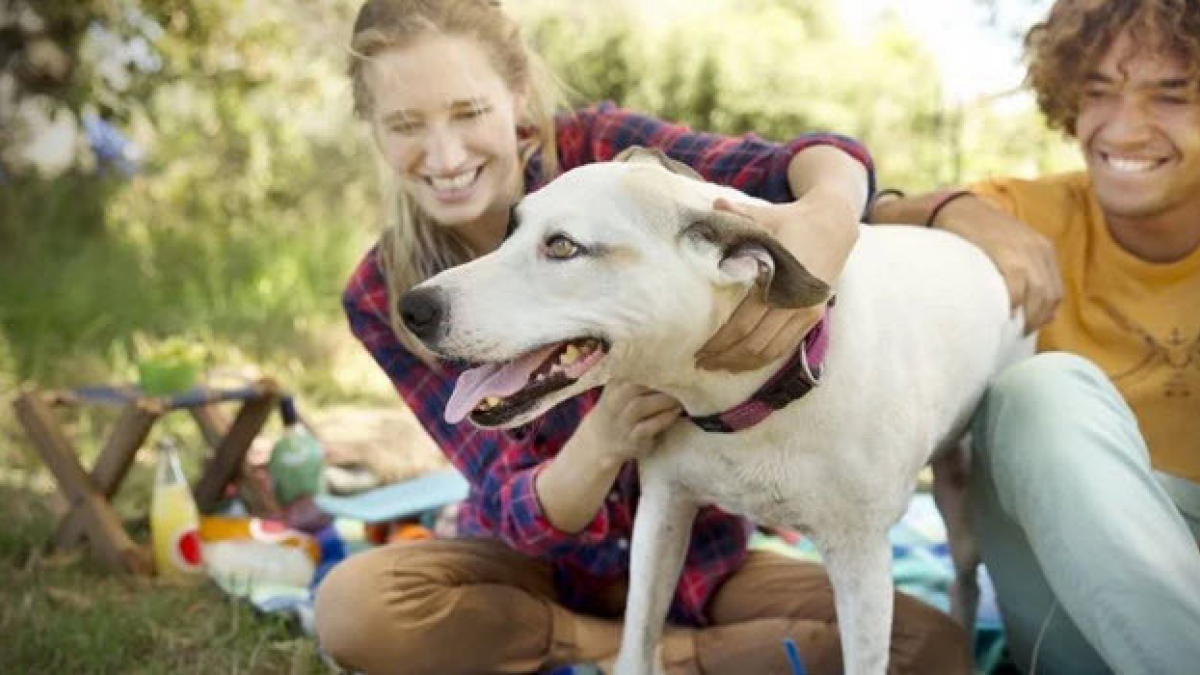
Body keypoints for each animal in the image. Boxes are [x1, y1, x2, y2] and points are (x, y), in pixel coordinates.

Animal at [400, 148, 1032, 672]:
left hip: (959, 493)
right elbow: (636, 642)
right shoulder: (663, 512)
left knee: (966, 577)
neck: (753, 402)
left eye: (562, 246)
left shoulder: (862, 562)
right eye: (511, 229)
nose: (412, 308)